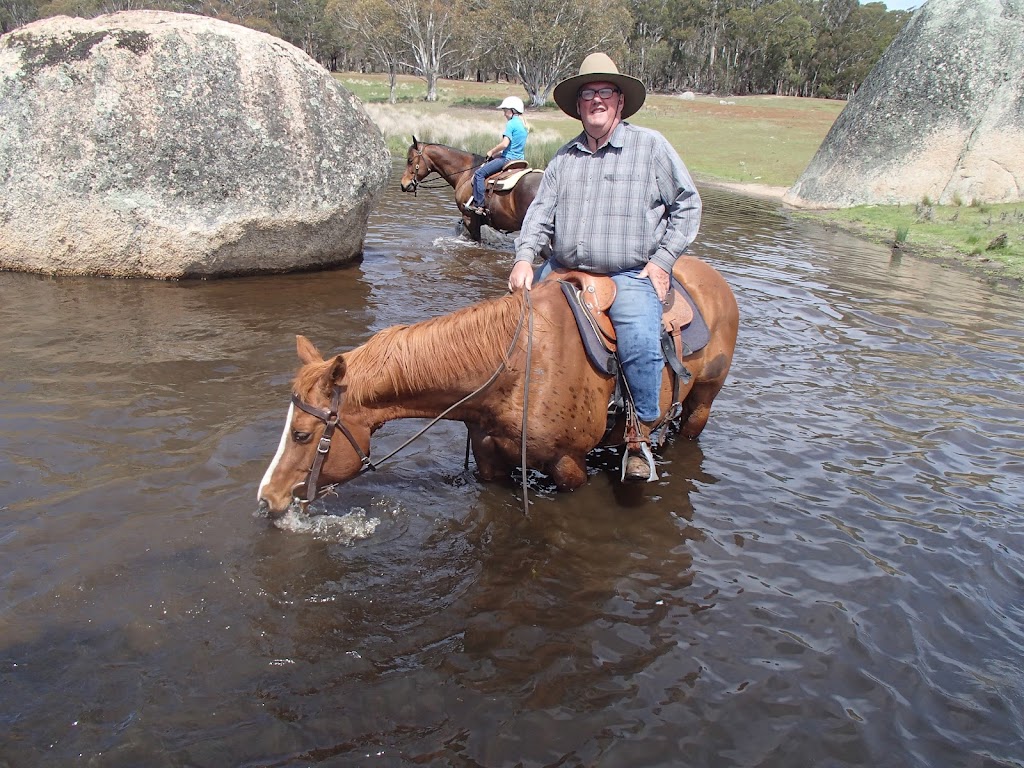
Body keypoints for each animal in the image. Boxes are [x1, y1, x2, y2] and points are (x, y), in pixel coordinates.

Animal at [254, 256, 737, 520]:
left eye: (302, 434)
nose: (266, 499)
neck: (517, 369)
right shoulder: (489, 462)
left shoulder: (568, 466)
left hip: (703, 402)